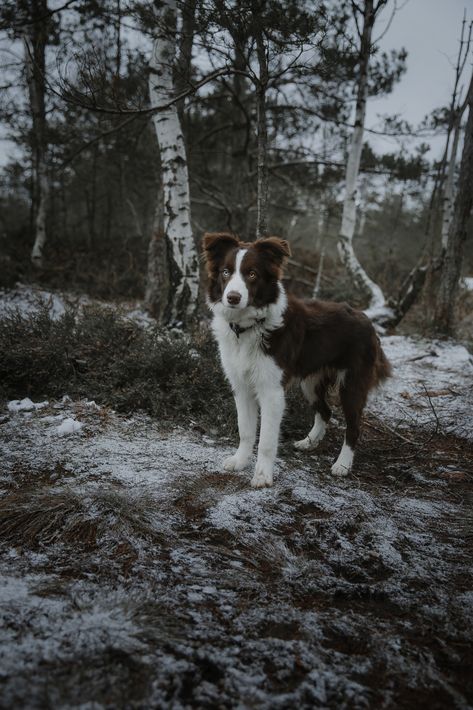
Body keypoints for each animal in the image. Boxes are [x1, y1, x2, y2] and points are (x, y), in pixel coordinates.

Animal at [203, 234, 390, 490]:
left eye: (252, 274)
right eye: (225, 272)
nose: (233, 298)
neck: (250, 326)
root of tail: (367, 319)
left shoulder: (272, 391)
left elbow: (266, 440)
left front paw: (263, 475)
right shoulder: (241, 386)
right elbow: (245, 430)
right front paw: (240, 461)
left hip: (352, 384)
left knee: (354, 427)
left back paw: (342, 465)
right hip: (310, 383)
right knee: (325, 412)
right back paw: (309, 442)